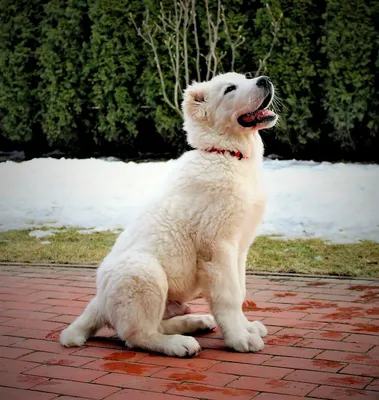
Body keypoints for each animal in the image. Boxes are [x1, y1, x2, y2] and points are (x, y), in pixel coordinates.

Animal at [60, 72, 280, 356]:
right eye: (230, 89)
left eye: (246, 78)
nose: (265, 79)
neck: (227, 155)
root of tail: (99, 302)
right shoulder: (216, 247)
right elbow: (229, 296)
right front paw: (239, 338)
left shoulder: (240, 248)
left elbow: (240, 290)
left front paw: (247, 328)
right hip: (144, 273)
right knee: (136, 335)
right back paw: (179, 344)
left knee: (157, 325)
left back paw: (196, 322)